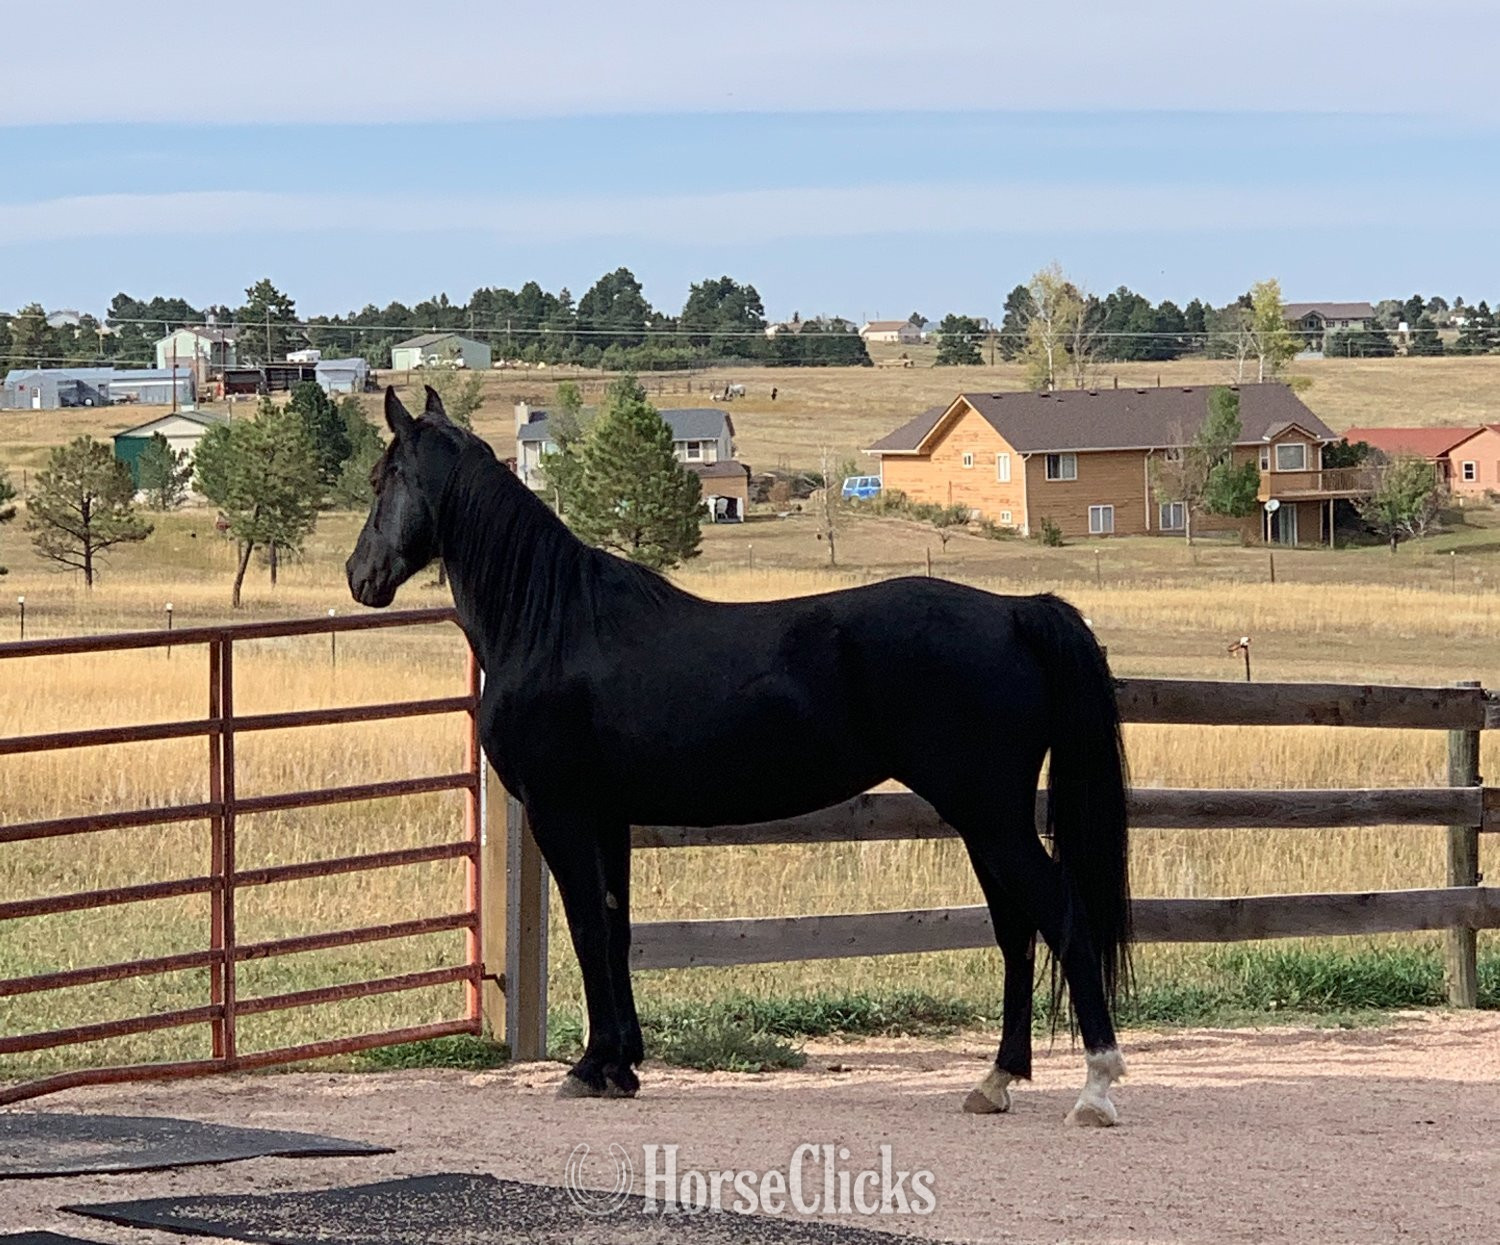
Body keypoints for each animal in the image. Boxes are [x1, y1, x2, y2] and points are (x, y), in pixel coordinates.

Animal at [347, 387, 1133, 1126]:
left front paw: (590, 1067)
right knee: (1016, 928)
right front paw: (623, 1065)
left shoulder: (560, 812)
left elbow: (588, 928)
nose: (360, 576)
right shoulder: (608, 816)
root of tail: (1014, 612)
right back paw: (995, 1080)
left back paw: (1095, 1086)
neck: (552, 623)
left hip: (990, 815)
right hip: (985, 820)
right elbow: (616, 928)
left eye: (383, 477)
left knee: (1060, 913)